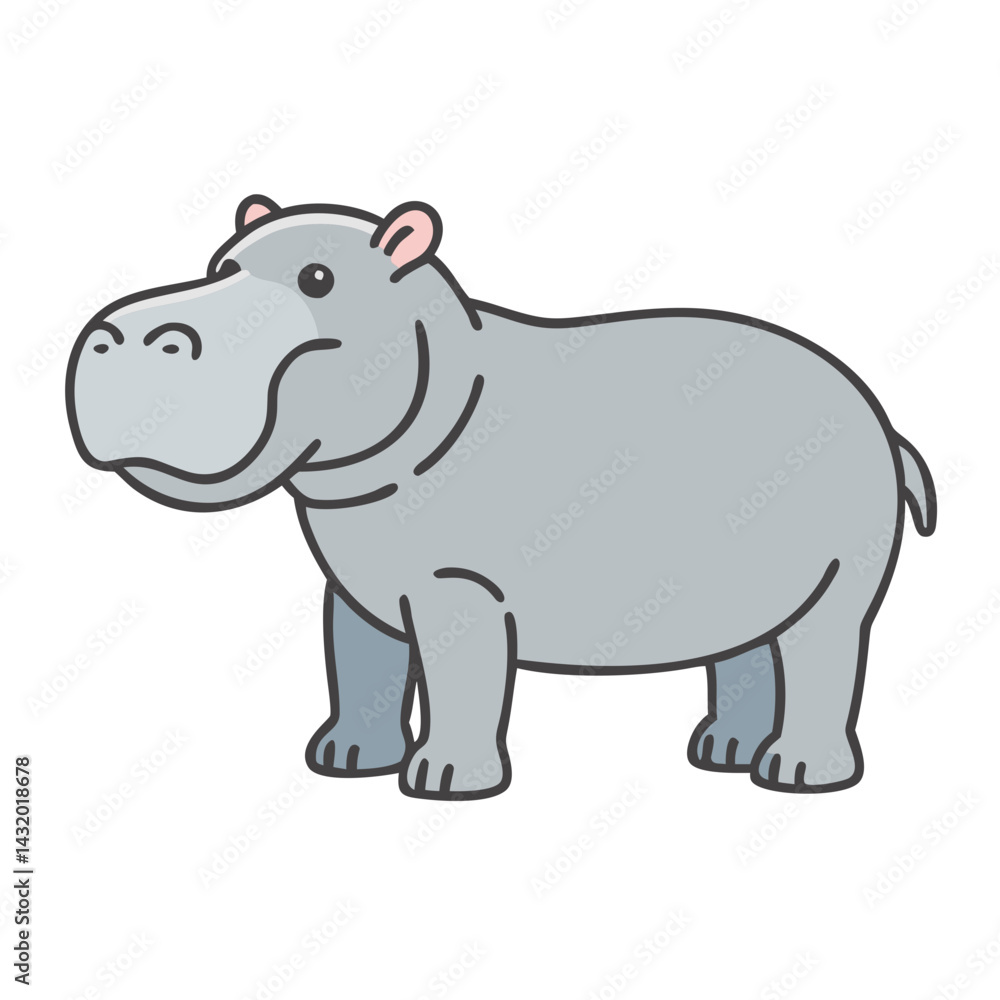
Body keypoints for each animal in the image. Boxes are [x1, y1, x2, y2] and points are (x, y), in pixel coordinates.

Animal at [66, 195, 937, 799]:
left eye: (317, 278)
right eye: (220, 264)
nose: (127, 334)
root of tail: (878, 413)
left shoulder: (462, 591)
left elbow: (462, 679)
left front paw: (444, 782)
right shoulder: (353, 586)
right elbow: (359, 664)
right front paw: (344, 760)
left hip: (839, 574)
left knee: (824, 650)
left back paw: (795, 774)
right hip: (749, 572)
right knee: (749, 647)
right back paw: (720, 754)